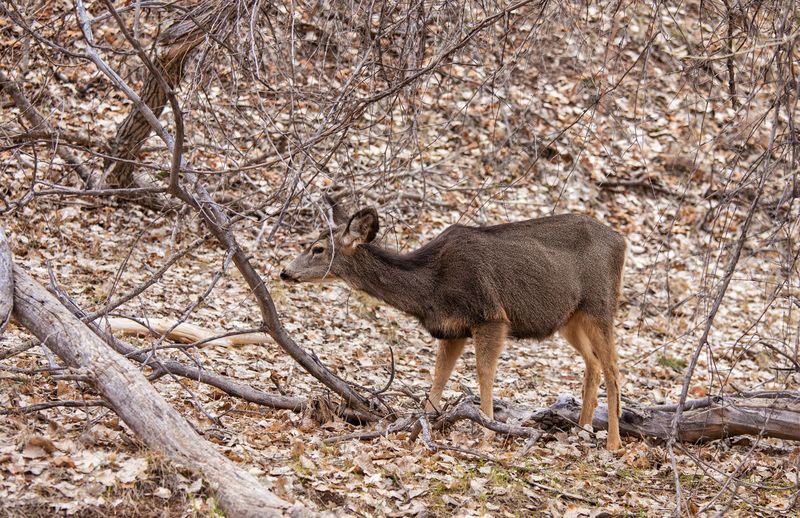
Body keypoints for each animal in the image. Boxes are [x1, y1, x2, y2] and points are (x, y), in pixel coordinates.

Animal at [282, 199, 632, 450]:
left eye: (318, 249)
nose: (285, 272)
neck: (430, 287)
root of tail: (621, 241)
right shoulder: (452, 329)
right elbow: (439, 377)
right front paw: (423, 425)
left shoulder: (490, 316)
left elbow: (484, 374)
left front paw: (488, 431)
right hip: (571, 318)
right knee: (593, 362)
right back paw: (582, 429)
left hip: (600, 304)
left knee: (613, 366)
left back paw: (613, 442)